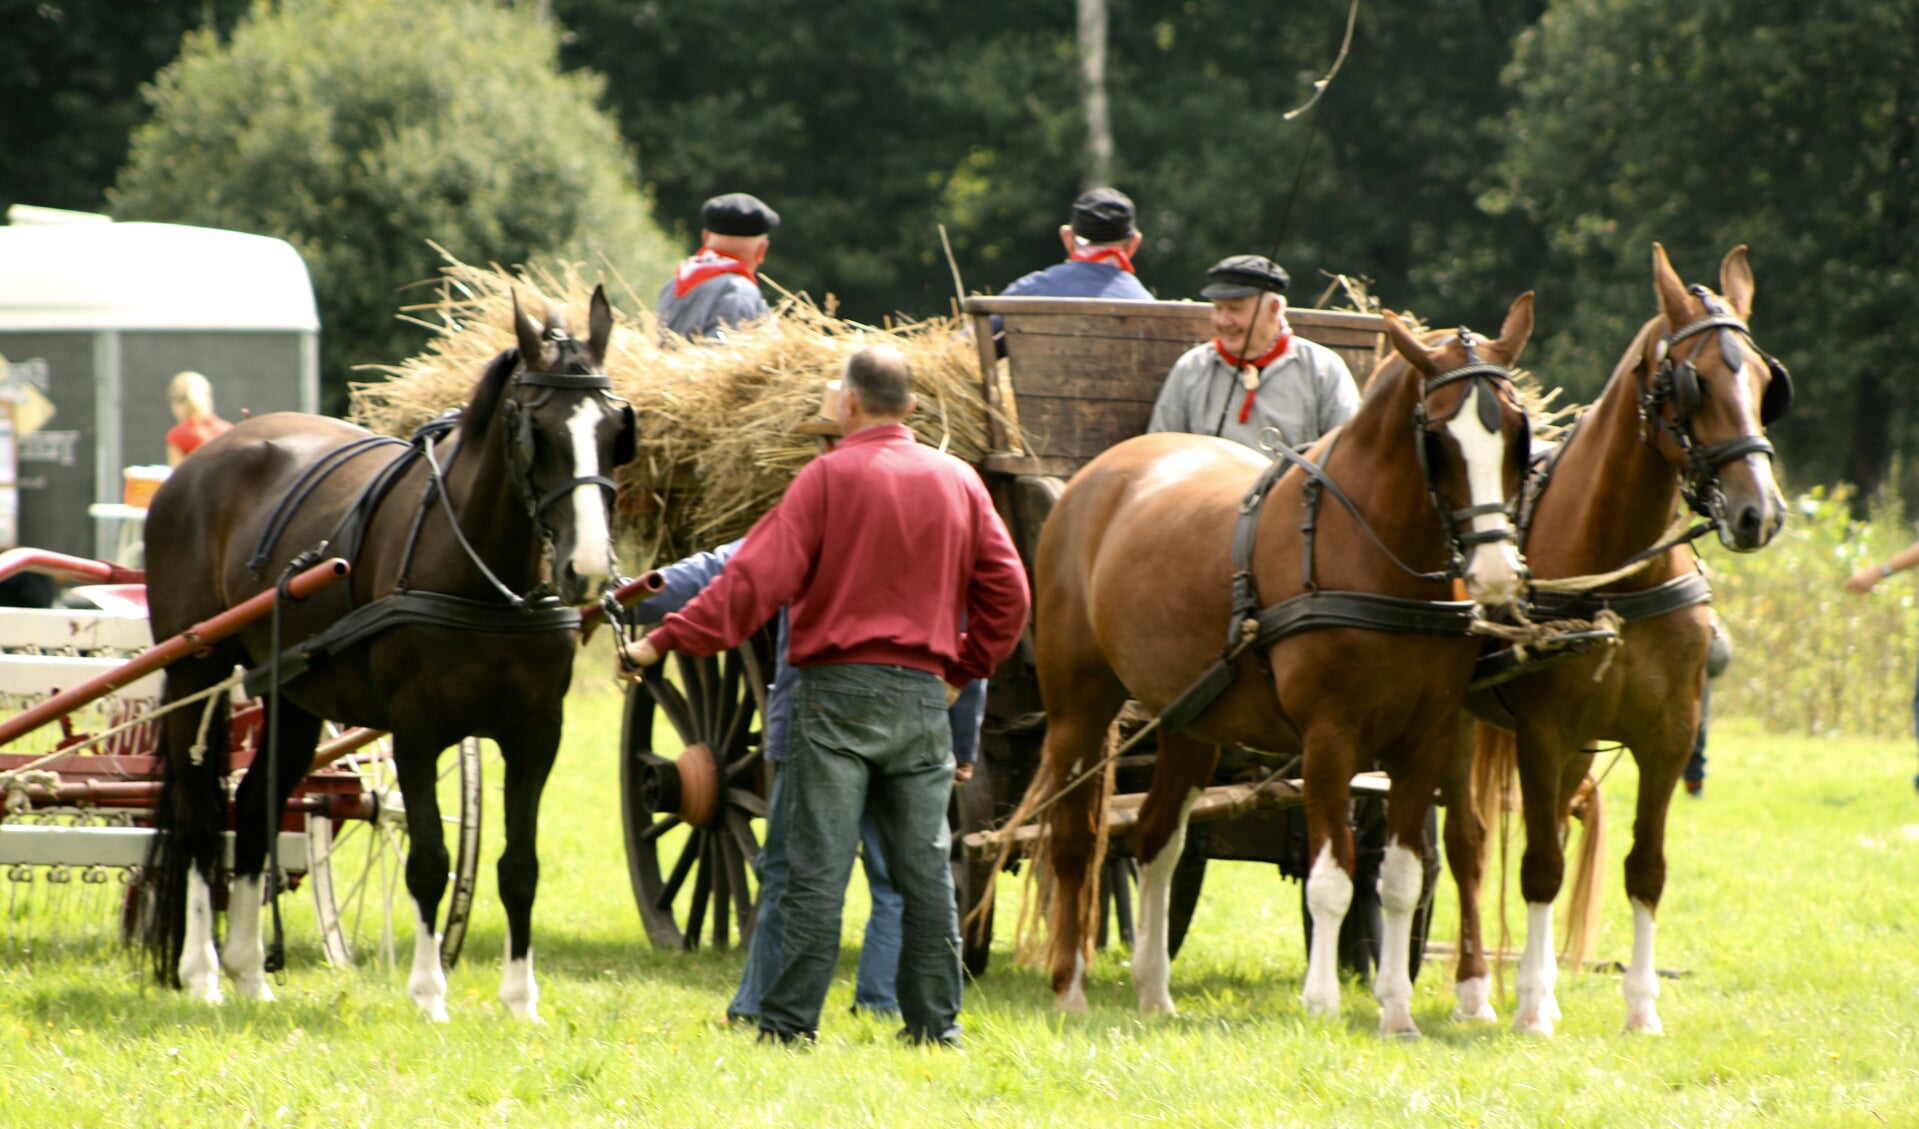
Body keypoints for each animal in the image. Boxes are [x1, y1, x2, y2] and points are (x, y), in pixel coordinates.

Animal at [143, 286, 637, 1021]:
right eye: (539, 432)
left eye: (613, 432)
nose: (589, 569)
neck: (486, 578)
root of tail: (197, 463)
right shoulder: (417, 730)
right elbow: (429, 860)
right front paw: (429, 993)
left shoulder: (536, 733)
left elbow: (521, 866)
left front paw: (521, 1000)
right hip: (191, 670)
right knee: (200, 816)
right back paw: (202, 971)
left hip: (291, 694)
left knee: (254, 812)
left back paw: (250, 972)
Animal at [1028, 295, 1535, 1036]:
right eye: (1440, 438)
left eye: (1518, 435)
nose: (1496, 571)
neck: (1374, 549)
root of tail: (1095, 477)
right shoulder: (1329, 737)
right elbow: (1333, 877)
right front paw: (1321, 1002)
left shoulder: (1425, 736)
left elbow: (1400, 877)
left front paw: (1396, 1011)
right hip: (1078, 706)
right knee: (1073, 838)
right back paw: (1068, 987)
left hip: (1188, 721)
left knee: (1155, 839)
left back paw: (1153, 989)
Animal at [1458, 244, 1788, 1029]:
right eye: (1693, 383)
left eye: (1765, 381)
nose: (1759, 512)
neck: (1621, 574)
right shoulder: (1542, 733)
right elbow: (1539, 865)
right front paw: (1532, 1008)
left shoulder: (1668, 736)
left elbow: (1645, 866)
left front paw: (1640, 1008)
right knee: (1466, 846)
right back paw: (1476, 991)